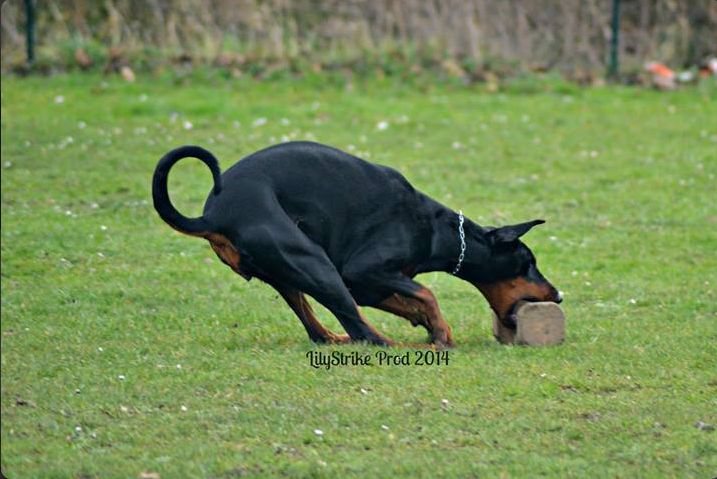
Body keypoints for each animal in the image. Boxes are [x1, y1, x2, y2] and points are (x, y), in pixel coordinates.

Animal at [154, 142, 564, 348]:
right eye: (529, 263)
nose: (558, 296)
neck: (436, 229)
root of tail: (213, 215)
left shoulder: (366, 284)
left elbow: (405, 298)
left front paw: (425, 321)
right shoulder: (362, 270)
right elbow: (427, 292)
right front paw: (439, 331)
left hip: (290, 272)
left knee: (320, 329)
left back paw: (333, 336)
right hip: (313, 262)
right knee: (363, 333)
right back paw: (397, 345)